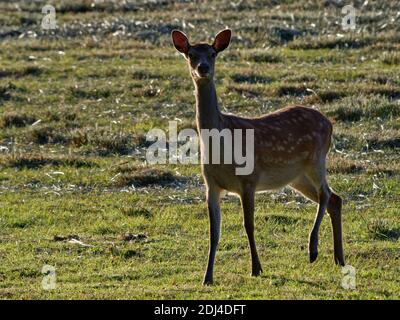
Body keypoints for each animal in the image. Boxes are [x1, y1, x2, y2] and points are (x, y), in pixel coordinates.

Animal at [170, 28, 346, 284]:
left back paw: (313, 249)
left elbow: (248, 225)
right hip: (296, 177)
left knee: (326, 193)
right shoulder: (211, 184)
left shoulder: (249, 179)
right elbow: (214, 232)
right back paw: (339, 258)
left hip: (317, 159)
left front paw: (256, 268)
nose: (203, 68)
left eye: (212, 53)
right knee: (336, 198)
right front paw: (207, 277)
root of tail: (329, 123)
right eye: (191, 54)